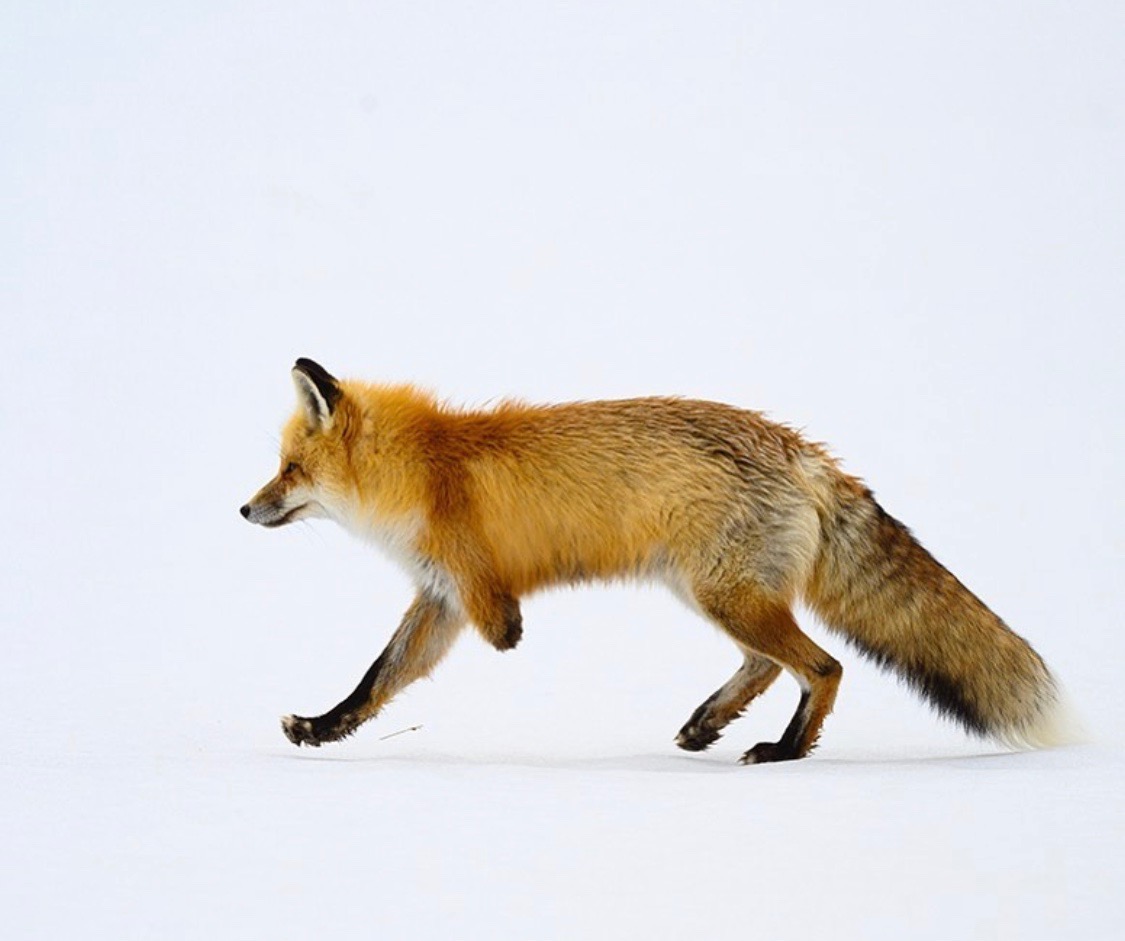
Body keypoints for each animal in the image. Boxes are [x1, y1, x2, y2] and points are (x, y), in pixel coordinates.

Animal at [240, 358, 1075, 763]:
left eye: (288, 469)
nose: (244, 511)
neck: (424, 469)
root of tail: (802, 451)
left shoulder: (464, 581)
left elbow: (494, 626)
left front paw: (509, 632)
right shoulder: (438, 597)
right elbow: (376, 679)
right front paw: (319, 728)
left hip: (724, 595)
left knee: (822, 665)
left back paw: (785, 751)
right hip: (712, 592)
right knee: (769, 664)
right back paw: (709, 724)